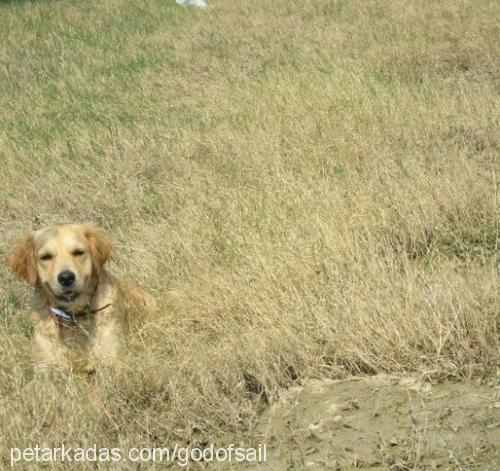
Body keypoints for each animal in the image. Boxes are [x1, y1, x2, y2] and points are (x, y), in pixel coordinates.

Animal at [7, 225, 152, 376]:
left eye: (78, 252)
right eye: (46, 257)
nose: (66, 278)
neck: (72, 317)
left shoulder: (111, 360)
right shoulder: (46, 366)